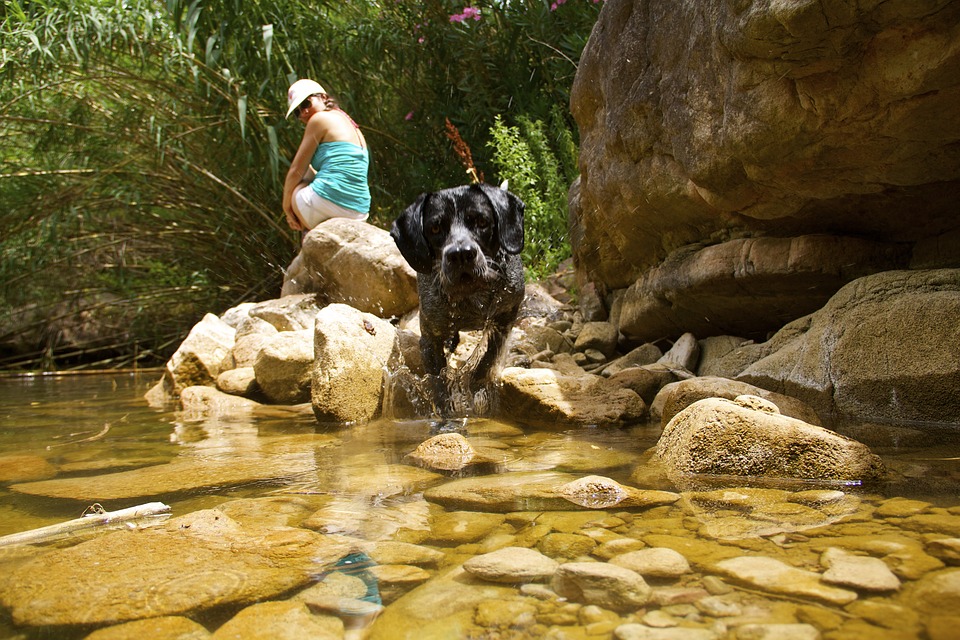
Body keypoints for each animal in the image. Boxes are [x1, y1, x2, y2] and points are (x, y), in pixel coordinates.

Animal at [390, 182, 524, 418]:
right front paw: (447, 415)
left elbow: (487, 359)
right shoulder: (430, 340)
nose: (461, 254)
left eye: (482, 222)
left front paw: (476, 386)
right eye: (435, 228)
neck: (471, 297)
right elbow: (438, 383)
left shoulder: (504, 319)